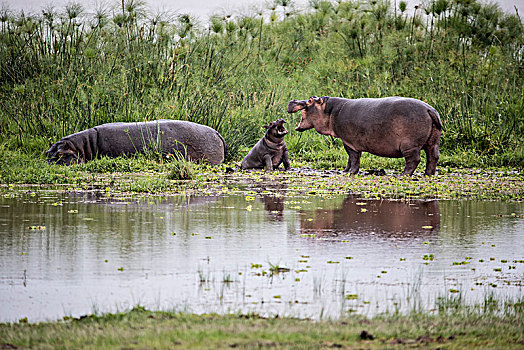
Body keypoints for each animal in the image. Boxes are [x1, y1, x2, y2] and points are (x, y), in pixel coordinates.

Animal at [286, 95, 442, 175]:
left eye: (310, 100)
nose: (292, 100)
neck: (329, 111)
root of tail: (429, 109)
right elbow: (350, 159)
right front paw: (345, 170)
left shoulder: (349, 142)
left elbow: (353, 158)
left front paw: (350, 172)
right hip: (433, 142)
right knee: (433, 157)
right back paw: (428, 174)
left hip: (410, 145)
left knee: (414, 159)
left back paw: (403, 174)